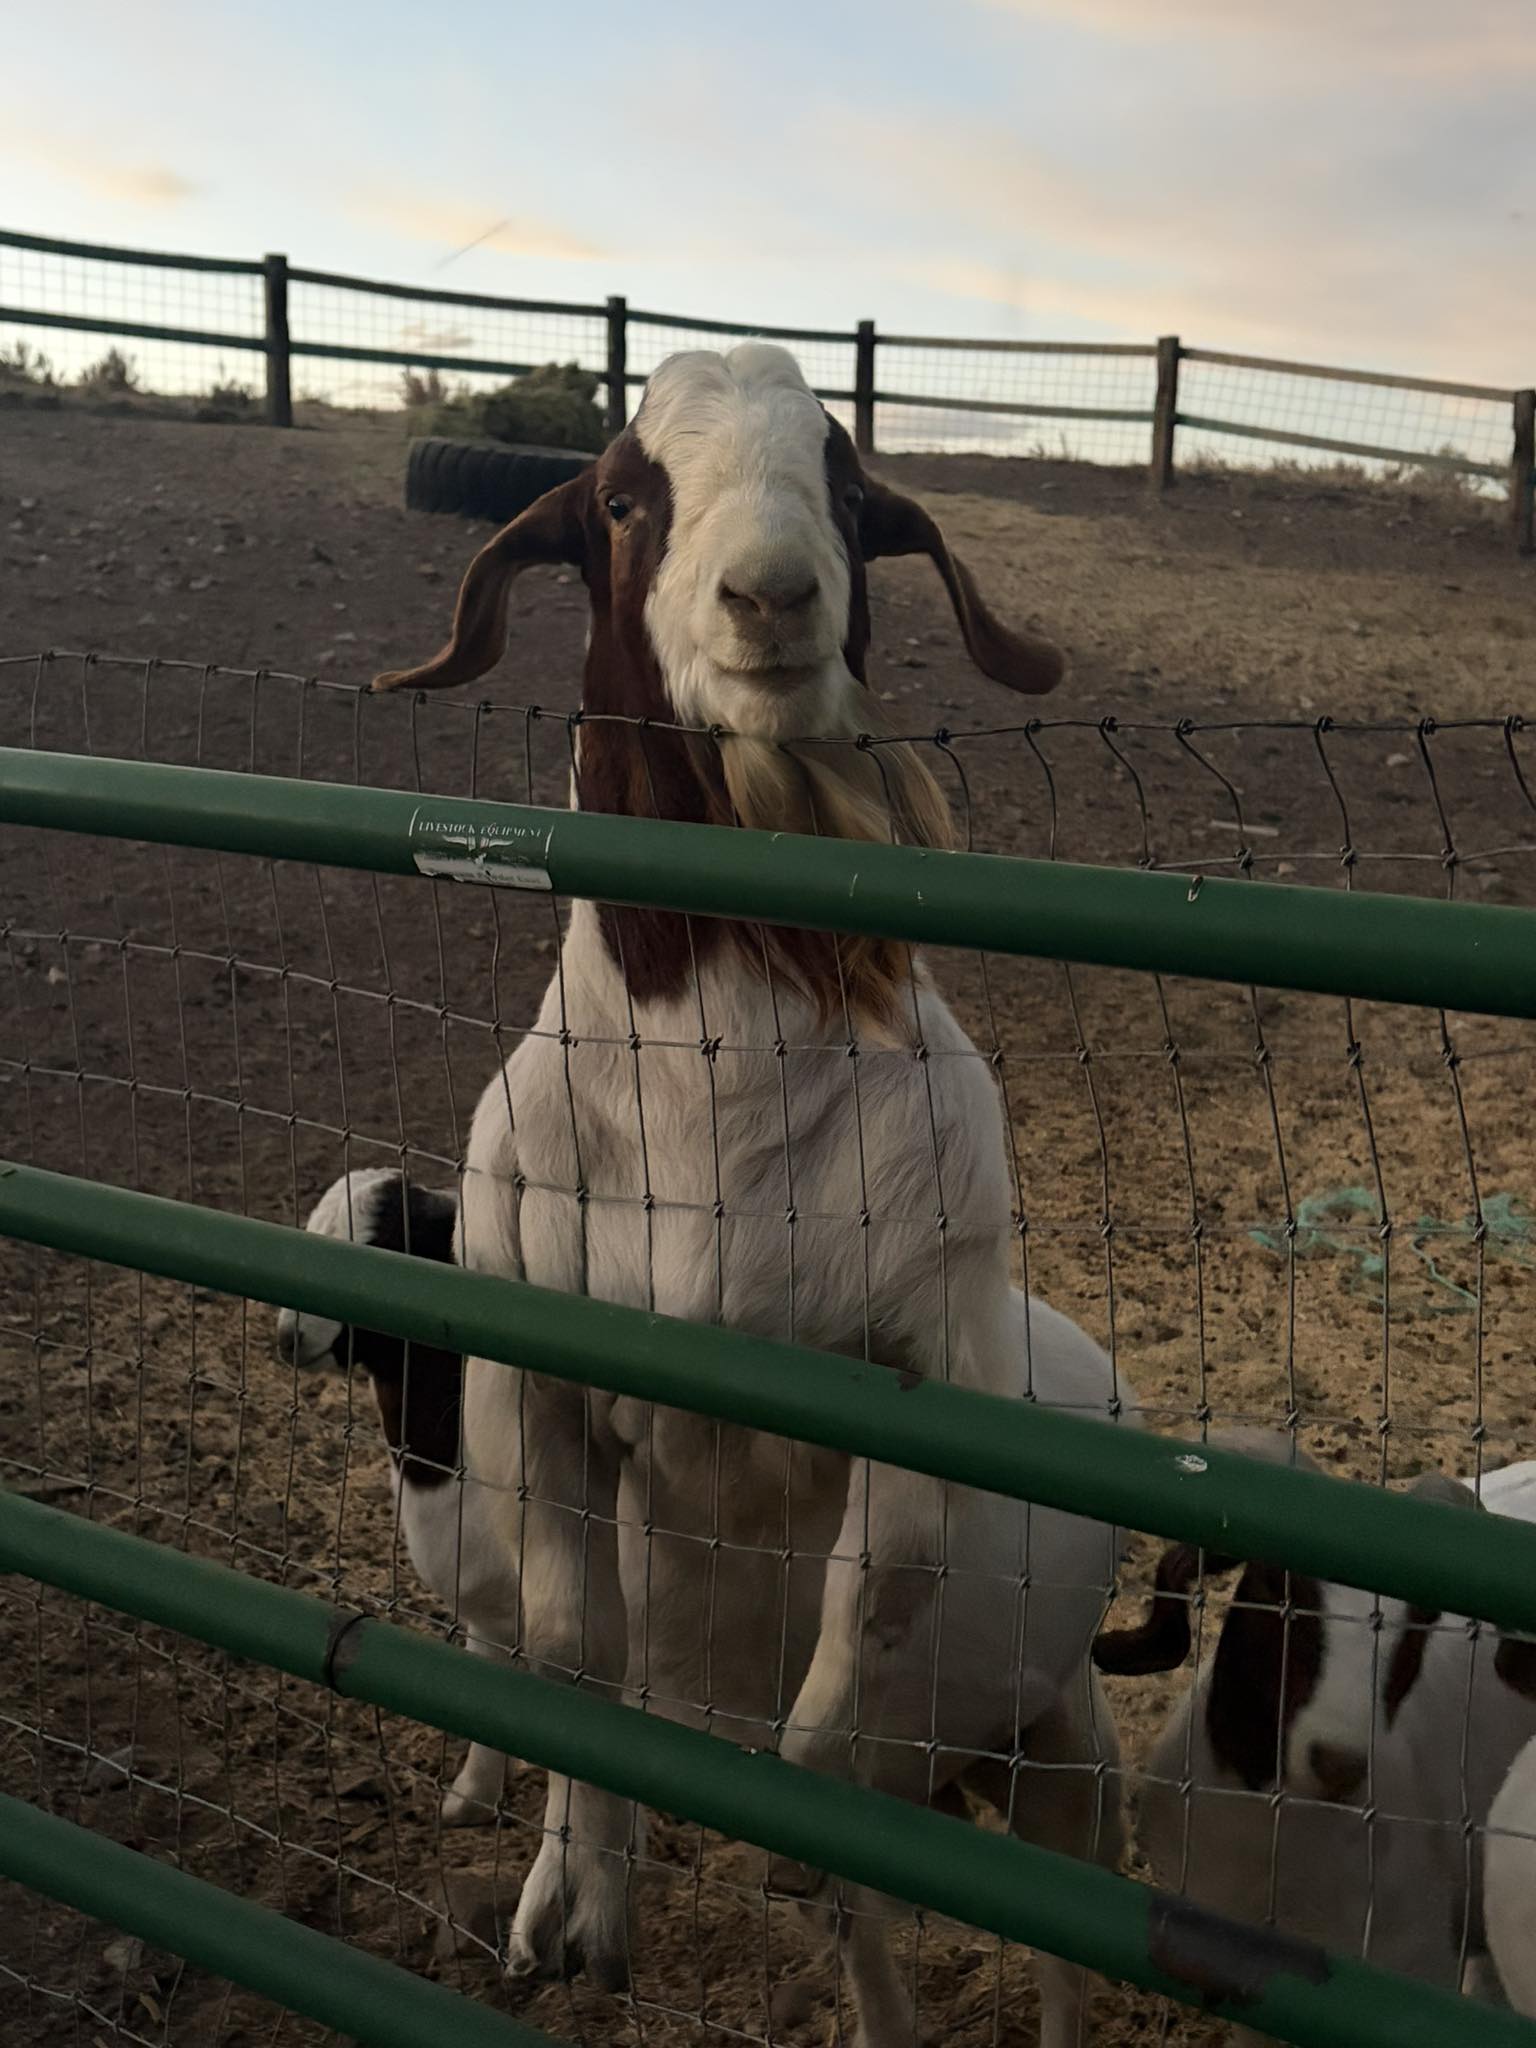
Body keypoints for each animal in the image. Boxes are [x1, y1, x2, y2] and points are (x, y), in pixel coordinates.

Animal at [373, 344, 1138, 2045]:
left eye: (849, 485)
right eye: (619, 498)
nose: (774, 592)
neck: (710, 1102)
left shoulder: (912, 1377)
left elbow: (862, 1637)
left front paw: (783, 1830)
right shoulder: (541, 1379)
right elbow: (571, 1647)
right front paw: (575, 1910)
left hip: (1062, 1750)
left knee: (1047, 1929)